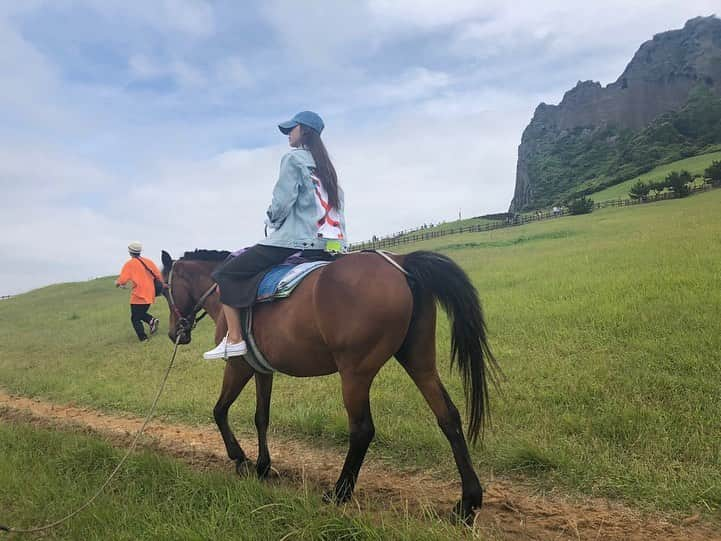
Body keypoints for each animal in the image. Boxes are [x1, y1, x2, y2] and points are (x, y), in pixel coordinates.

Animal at [159, 248, 496, 520]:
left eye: (164, 288)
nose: (175, 333)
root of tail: (400, 263)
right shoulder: (262, 370)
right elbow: (261, 417)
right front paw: (263, 466)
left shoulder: (238, 366)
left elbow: (219, 411)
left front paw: (240, 459)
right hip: (419, 362)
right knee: (448, 417)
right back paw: (468, 503)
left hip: (355, 374)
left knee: (362, 430)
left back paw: (340, 492)